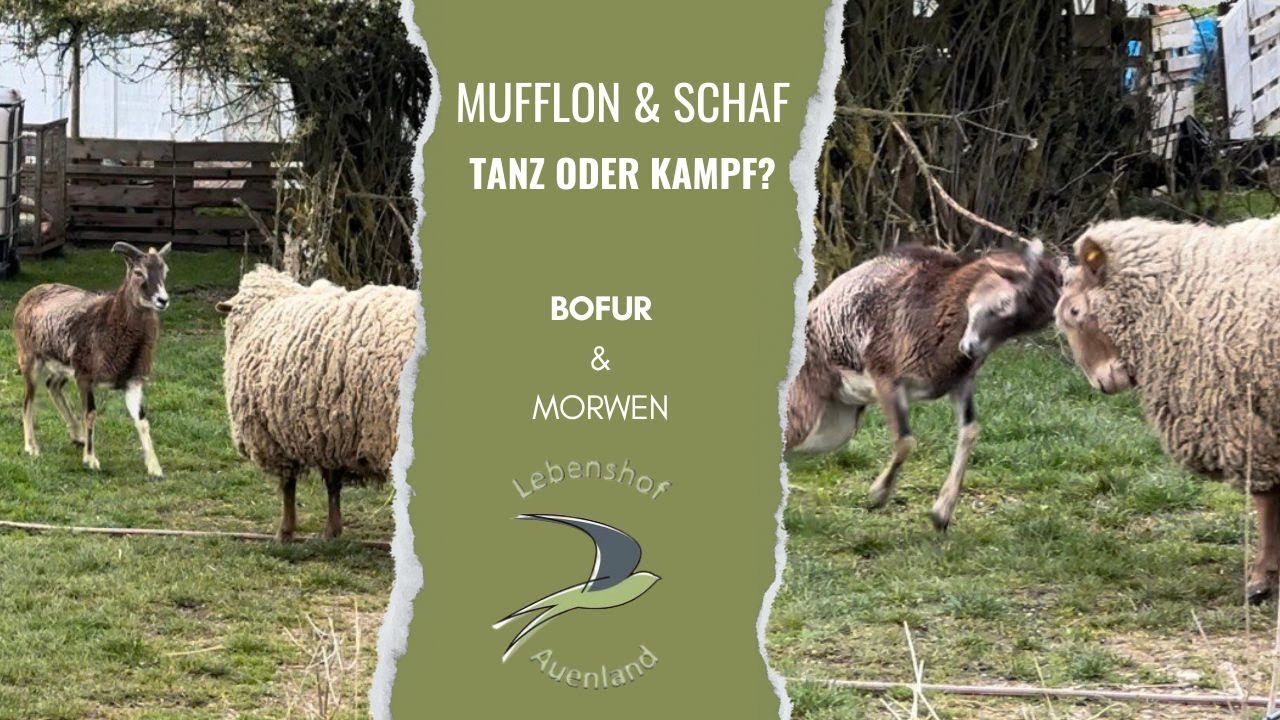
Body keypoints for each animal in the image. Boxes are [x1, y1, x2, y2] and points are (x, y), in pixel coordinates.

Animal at [13, 242, 171, 479]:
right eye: (138, 272)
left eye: (165, 271)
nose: (162, 300)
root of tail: (29, 295)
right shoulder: (85, 377)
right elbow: (90, 414)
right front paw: (91, 460)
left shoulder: (132, 381)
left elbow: (142, 420)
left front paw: (155, 468)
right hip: (30, 360)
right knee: (28, 400)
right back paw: (32, 447)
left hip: (63, 368)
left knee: (52, 386)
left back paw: (77, 436)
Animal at [215, 266, 417, 541]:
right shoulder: (328, 432)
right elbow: (332, 484)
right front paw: (332, 530)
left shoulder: (275, 437)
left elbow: (288, 486)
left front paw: (285, 531)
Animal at [786, 241, 1061, 530]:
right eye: (1005, 302)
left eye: (1028, 326)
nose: (971, 349)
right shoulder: (887, 379)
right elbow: (906, 441)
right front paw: (878, 495)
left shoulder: (960, 384)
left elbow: (970, 430)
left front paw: (941, 514)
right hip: (807, 410)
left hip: (835, 428)